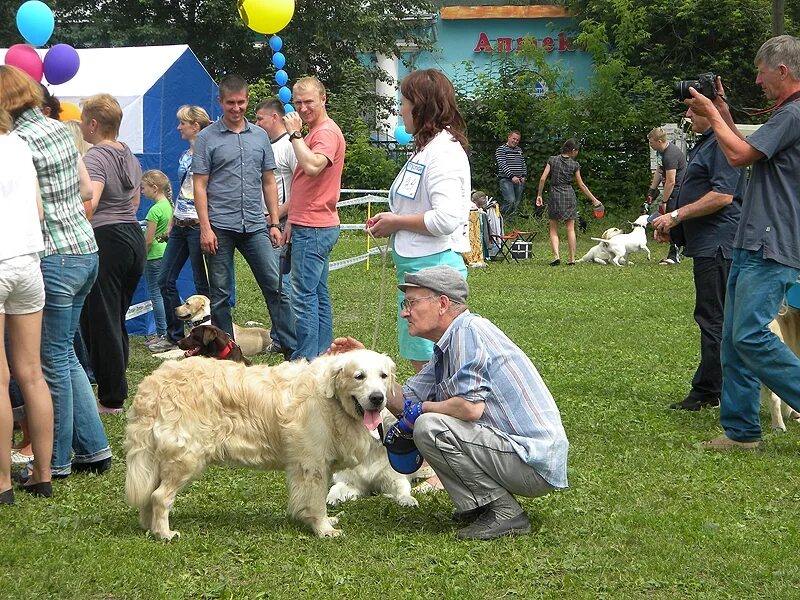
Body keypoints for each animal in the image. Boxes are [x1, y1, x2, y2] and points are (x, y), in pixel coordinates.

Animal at [125, 346, 396, 540]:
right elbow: (316, 501)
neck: (332, 401)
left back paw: (149, 528)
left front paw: (325, 522)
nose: (377, 398)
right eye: (359, 376)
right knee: (160, 496)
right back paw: (164, 533)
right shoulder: (312, 464)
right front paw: (324, 529)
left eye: (383, 376)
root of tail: (152, 384)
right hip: (186, 457)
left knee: (150, 494)